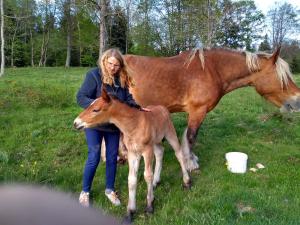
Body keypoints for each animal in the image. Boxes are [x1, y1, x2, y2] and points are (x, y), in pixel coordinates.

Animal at [74, 88, 191, 221]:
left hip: (169, 133)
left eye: (96, 109)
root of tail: (162, 107)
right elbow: (131, 179)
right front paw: (130, 211)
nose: (76, 123)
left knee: (179, 154)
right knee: (160, 152)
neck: (134, 125)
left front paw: (149, 206)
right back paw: (156, 182)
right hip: (155, 142)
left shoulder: (146, 151)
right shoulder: (132, 153)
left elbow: (147, 175)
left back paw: (187, 182)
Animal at [124, 47, 300, 171]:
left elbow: (190, 136)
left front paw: (191, 159)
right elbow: (191, 137)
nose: (298, 100)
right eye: (283, 77)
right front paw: (191, 164)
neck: (212, 70)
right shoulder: (198, 111)